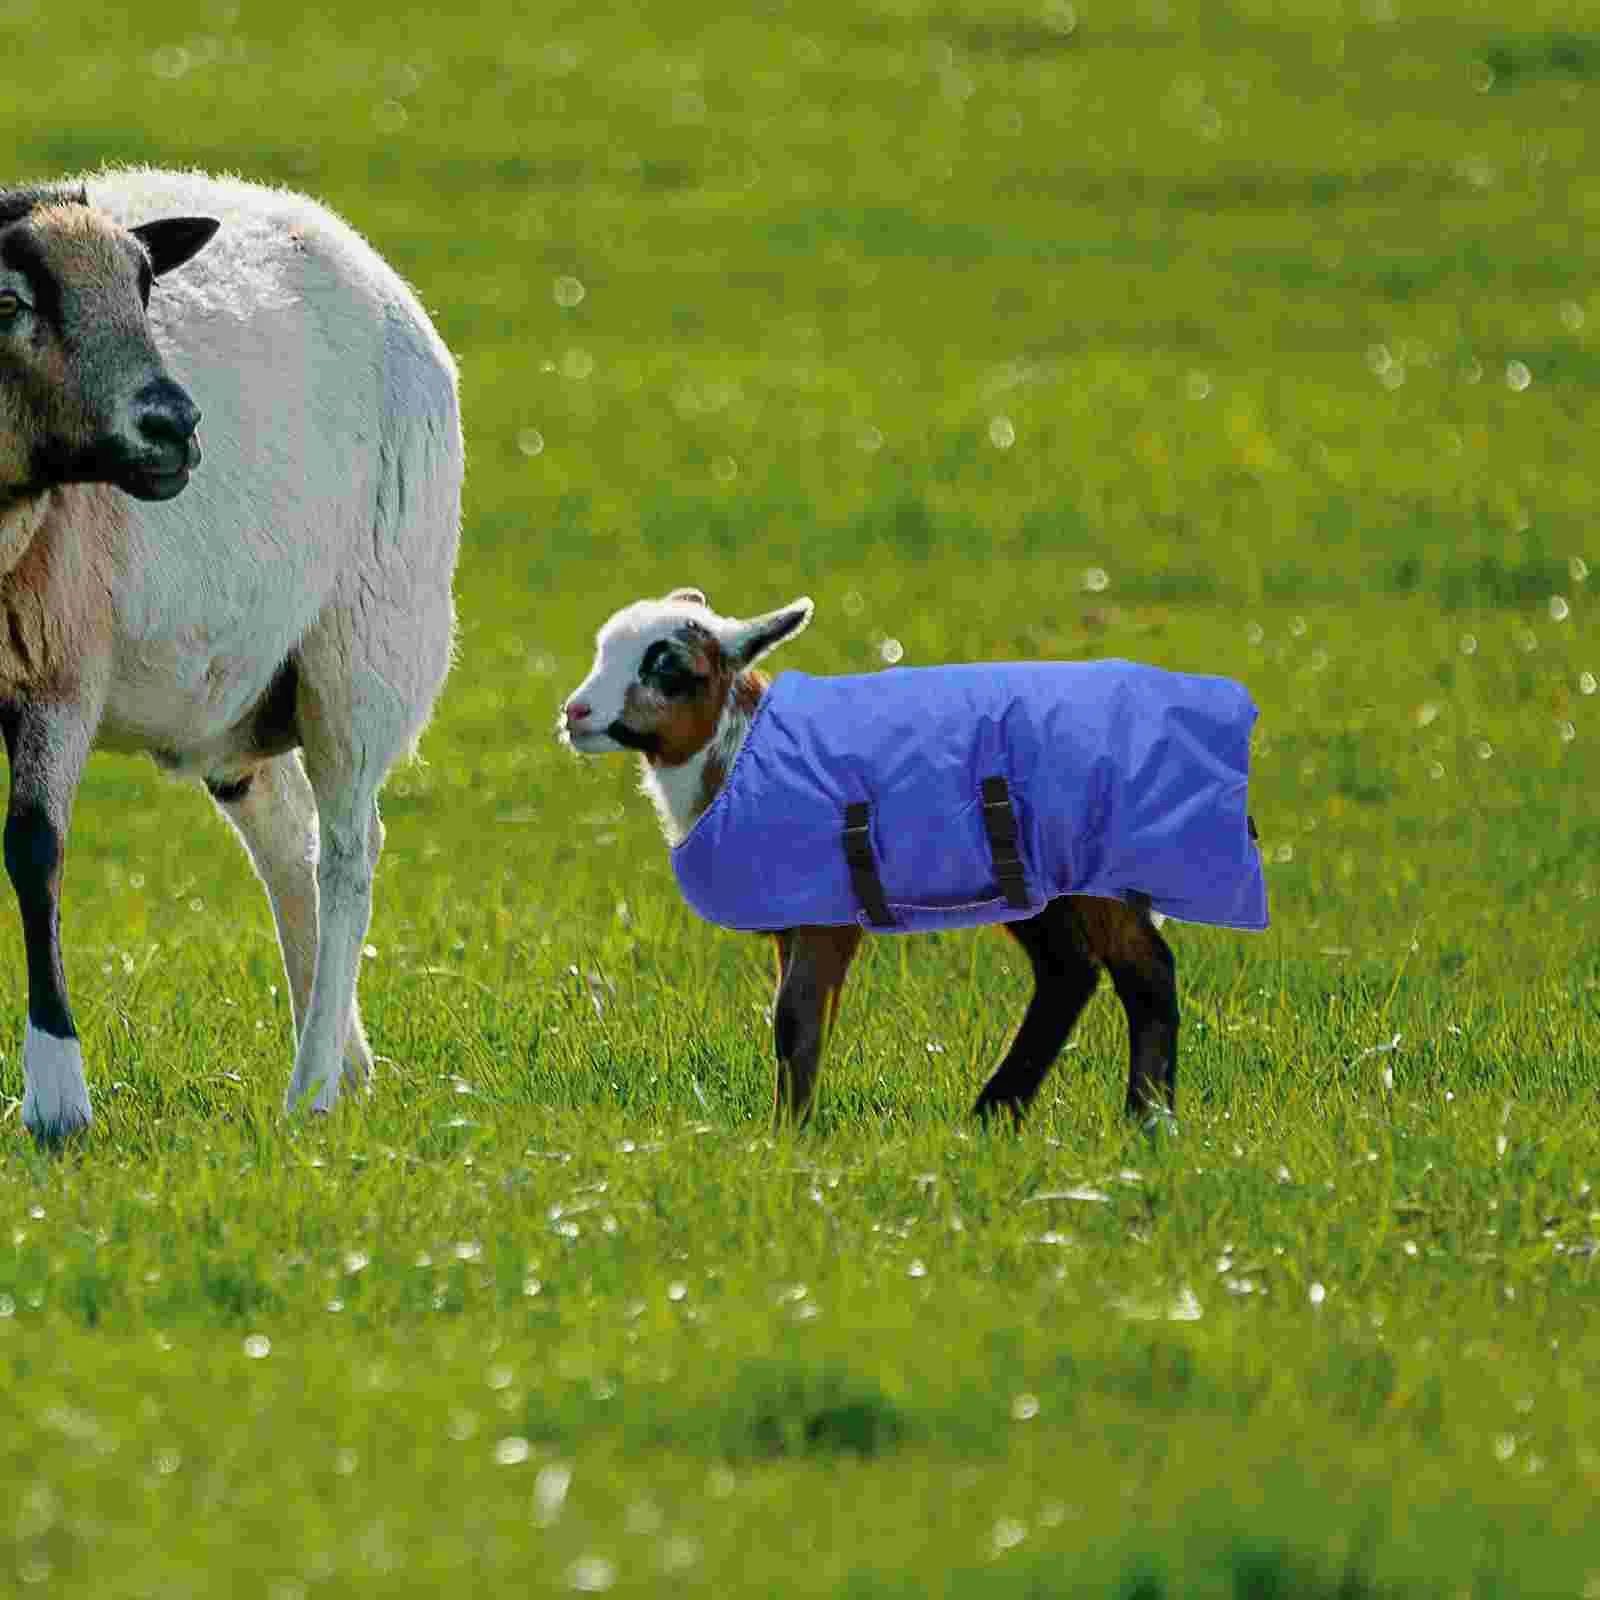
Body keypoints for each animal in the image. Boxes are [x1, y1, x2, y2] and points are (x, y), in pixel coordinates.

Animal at [0, 165, 464, 1139]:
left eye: (146, 287)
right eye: (7, 301)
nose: (176, 427)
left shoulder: (58, 666)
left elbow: (33, 849)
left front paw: (58, 1098)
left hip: (365, 642)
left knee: (348, 852)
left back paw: (314, 1085)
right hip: (247, 691)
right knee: (286, 835)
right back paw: (346, 1059)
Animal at [556, 588, 1267, 1126]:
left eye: (671, 670)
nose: (576, 712)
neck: (743, 753)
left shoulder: (825, 913)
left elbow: (795, 1018)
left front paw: (791, 1138)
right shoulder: (790, 914)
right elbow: (793, 1021)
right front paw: (792, 1123)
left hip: (1098, 870)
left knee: (1146, 973)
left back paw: (1147, 1121)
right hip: (1035, 885)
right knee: (1069, 973)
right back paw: (994, 1114)